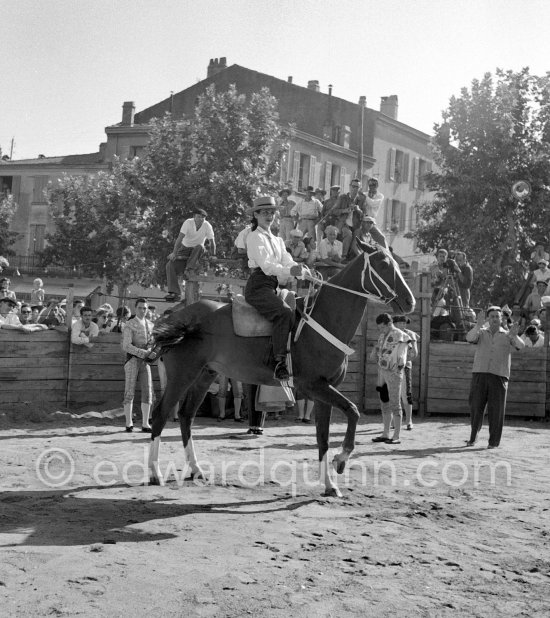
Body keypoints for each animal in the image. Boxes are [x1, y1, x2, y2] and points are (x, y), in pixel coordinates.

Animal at [149, 236, 416, 496]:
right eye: (383, 263)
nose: (410, 301)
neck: (321, 322)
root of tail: (176, 316)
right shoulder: (314, 386)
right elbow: (353, 411)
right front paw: (340, 460)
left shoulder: (325, 391)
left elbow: (323, 436)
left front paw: (330, 485)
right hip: (182, 375)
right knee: (161, 414)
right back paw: (155, 474)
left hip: (205, 375)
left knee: (186, 416)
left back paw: (196, 470)